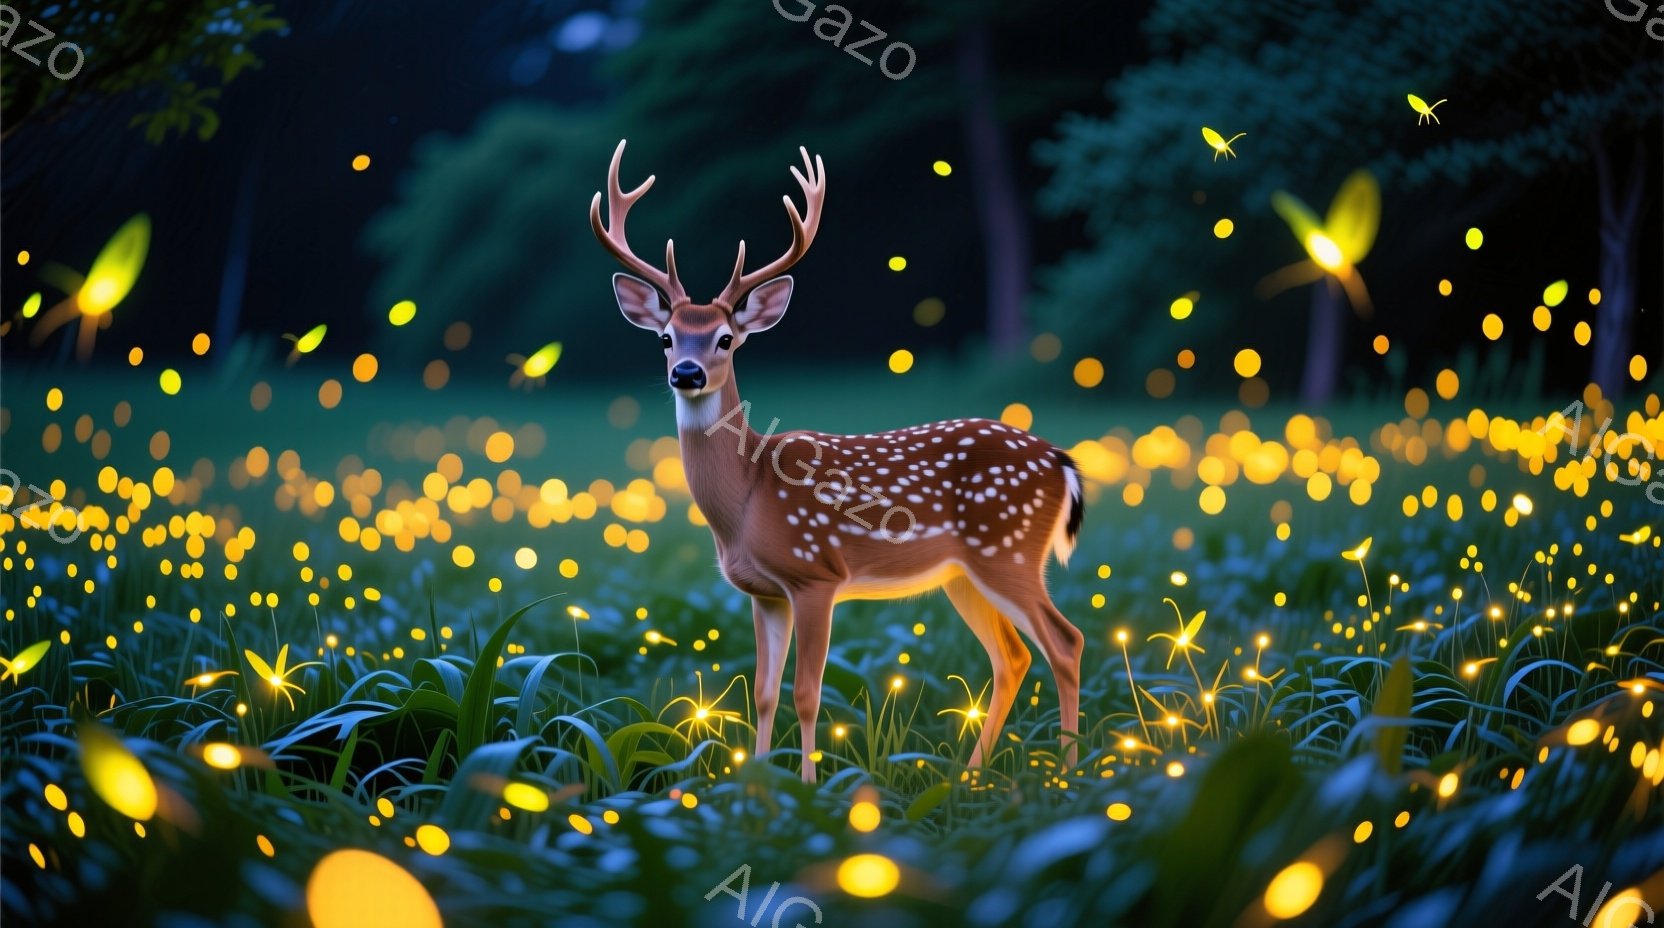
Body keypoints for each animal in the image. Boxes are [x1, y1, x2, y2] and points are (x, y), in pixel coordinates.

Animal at [591, 140, 1086, 783]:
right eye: (666, 338)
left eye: (726, 338)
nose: (688, 374)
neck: (747, 498)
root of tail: (1060, 460)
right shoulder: (763, 593)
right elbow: (763, 692)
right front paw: (756, 786)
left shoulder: (815, 574)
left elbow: (806, 693)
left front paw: (808, 789)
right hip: (964, 573)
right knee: (1013, 657)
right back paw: (967, 778)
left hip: (1009, 550)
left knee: (1064, 643)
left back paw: (1069, 775)